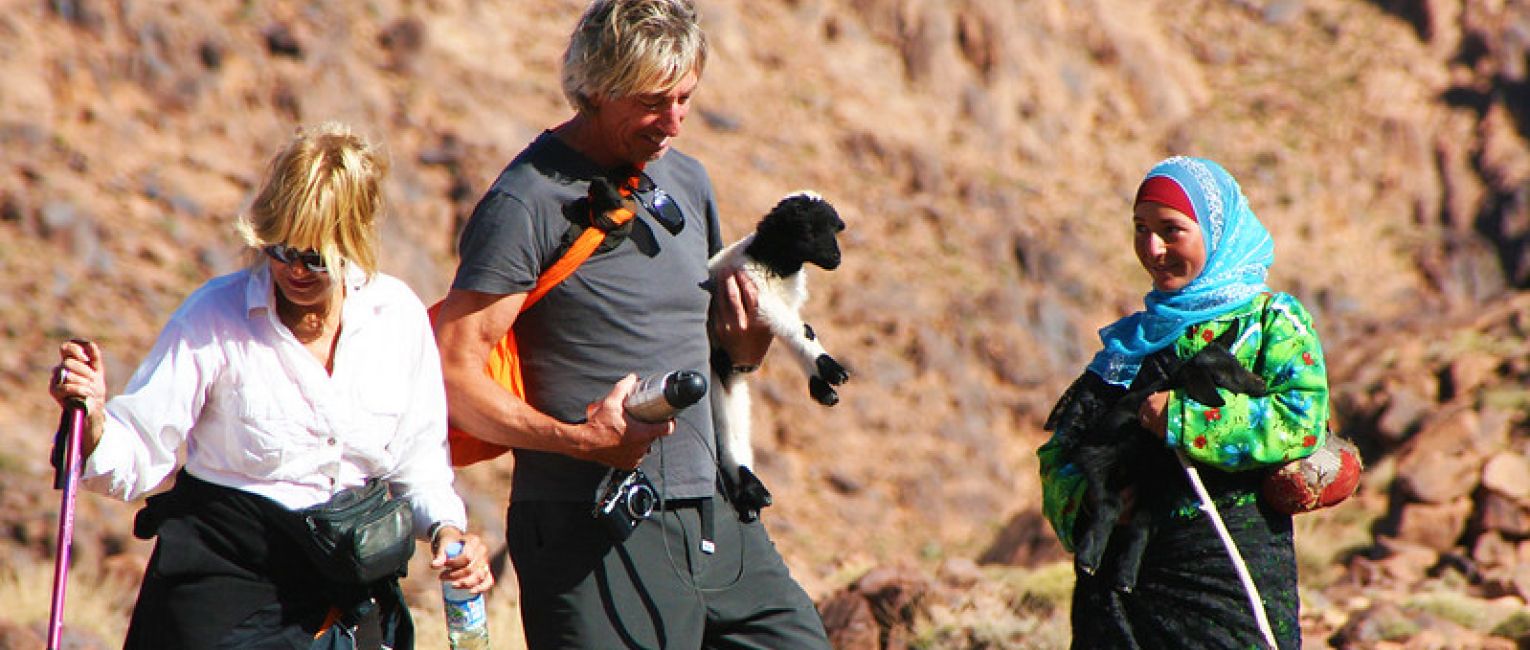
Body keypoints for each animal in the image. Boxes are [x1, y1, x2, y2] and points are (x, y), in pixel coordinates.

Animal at [706, 189, 850, 520]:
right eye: (807, 231)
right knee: (724, 432)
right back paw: (753, 492)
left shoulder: (781, 303)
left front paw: (821, 387)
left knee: (735, 430)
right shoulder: (760, 297)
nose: (836, 258)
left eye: (834, 229)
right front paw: (830, 369)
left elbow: (804, 327)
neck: (770, 261)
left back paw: (750, 497)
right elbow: (799, 330)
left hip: (732, 384)